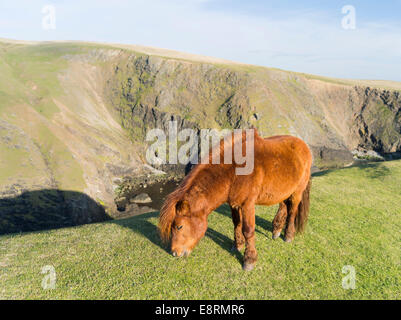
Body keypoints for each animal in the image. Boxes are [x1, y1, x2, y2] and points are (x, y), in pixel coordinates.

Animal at [158, 129, 310, 270]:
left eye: (179, 226)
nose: (174, 253)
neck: (234, 171)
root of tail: (304, 145)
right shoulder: (235, 204)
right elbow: (237, 224)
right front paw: (238, 245)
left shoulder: (248, 204)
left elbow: (248, 230)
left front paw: (249, 260)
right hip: (284, 191)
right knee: (283, 206)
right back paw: (276, 230)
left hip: (297, 192)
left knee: (292, 212)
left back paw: (288, 235)